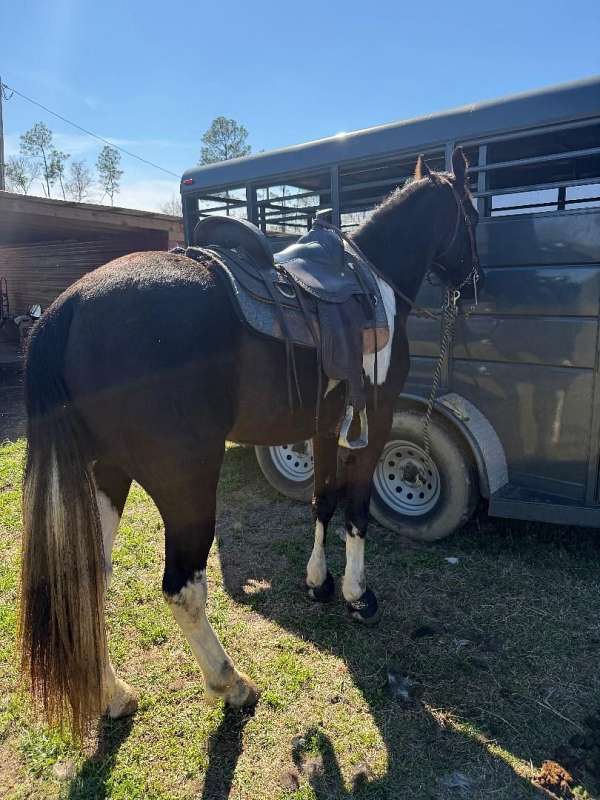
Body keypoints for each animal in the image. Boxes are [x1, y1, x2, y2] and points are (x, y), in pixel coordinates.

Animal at [19, 148, 481, 739]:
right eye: (472, 214)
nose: (476, 281)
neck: (372, 280)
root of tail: (70, 304)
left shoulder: (324, 426)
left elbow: (321, 501)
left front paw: (319, 583)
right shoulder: (373, 419)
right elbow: (356, 509)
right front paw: (357, 595)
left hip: (107, 473)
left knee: (87, 580)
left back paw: (114, 694)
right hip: (186, 480)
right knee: (183, 587)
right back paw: (230, 684)